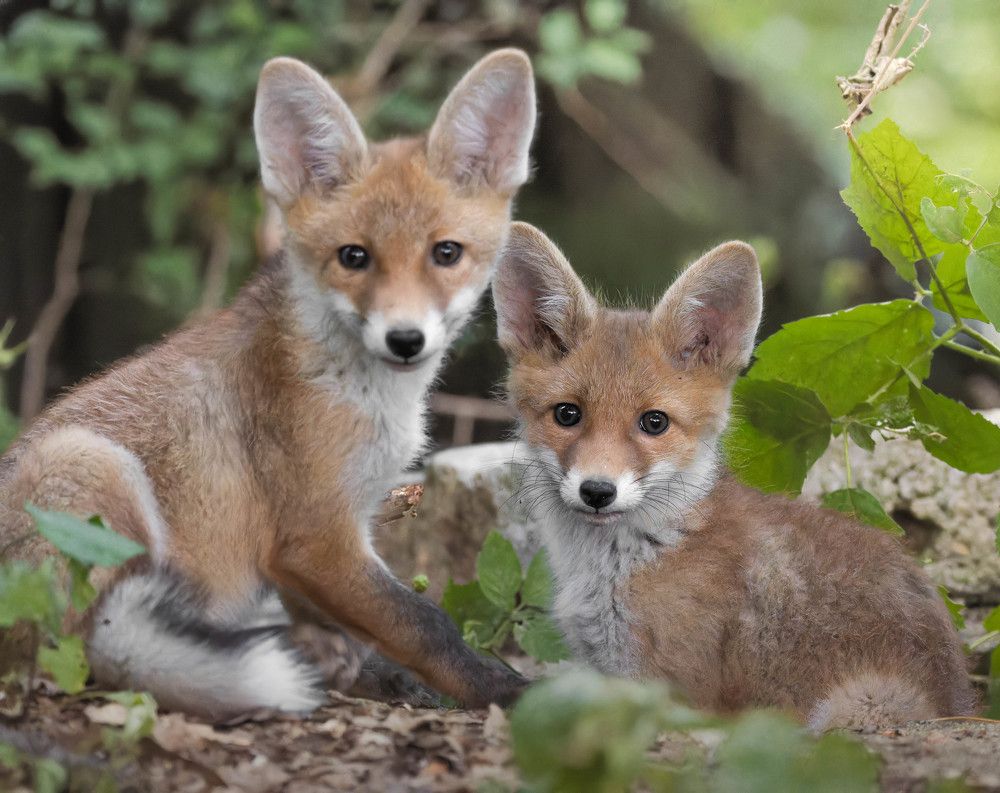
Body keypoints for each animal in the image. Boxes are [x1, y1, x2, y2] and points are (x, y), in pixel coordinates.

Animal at [0, 50, 537, 719]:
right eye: (353, 257)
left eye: (446, 253)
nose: (405, 340)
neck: (366, 399)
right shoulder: (316, 537)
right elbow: (424, 624)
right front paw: (500, 688)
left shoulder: (345, 529)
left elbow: (356, 635)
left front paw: (378, 678)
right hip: (92, 471)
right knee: (93, 650)